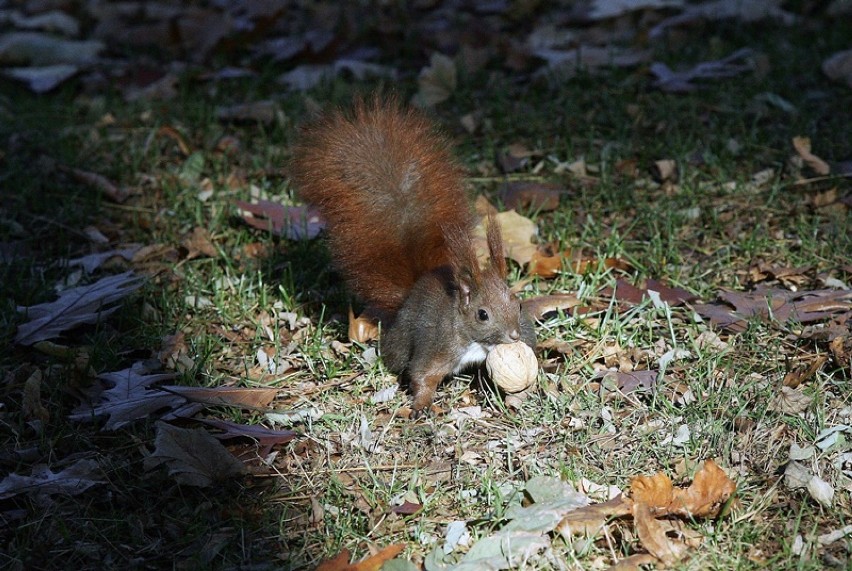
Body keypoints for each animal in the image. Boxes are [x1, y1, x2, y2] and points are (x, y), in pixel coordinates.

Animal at [292, 97, 532, 412]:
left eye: (518, 305)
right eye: (483, 315)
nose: (514, 335)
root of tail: (412, 291)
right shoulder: (439, 345)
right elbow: (423, 374)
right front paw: (423, 405)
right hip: (402, 339)